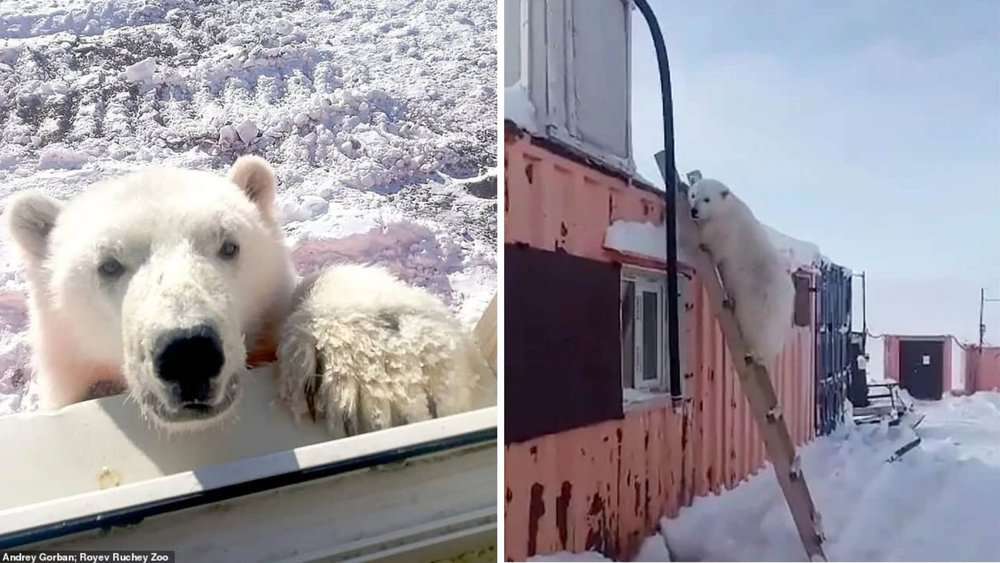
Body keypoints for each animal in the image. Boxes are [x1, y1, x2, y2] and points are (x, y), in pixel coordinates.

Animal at [688, 178, 794, 365]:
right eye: (693, 194)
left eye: (707, 199)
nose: (694, 210)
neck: (726, 209)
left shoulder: (726, 229)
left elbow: (715, 245)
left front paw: (703, 244)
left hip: (762, 299)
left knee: (759, 327)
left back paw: (755, 354)